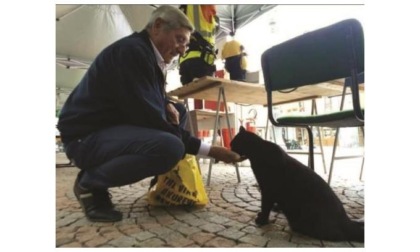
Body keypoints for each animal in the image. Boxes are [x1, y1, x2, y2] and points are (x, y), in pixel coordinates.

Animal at [230, 127, 364, 241]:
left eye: (233, 143)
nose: (229, 147)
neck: (258, 152)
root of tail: (347, 222)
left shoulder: (267, 190)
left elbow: (265, 206)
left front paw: (262, 220)